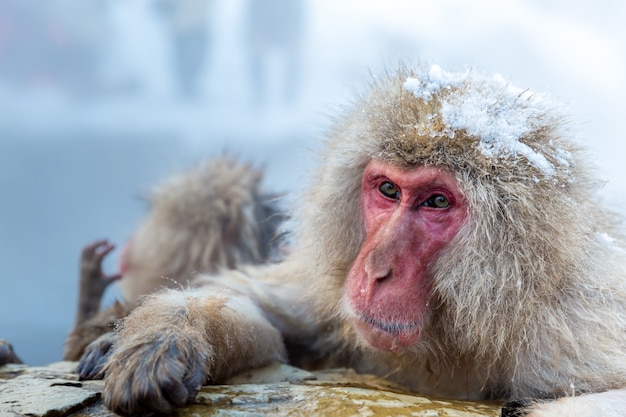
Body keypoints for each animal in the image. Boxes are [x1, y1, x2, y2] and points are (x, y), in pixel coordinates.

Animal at [94, 65, 626, 416]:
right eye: (388, 190)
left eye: (436, 201)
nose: (374, 270)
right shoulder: (335, 299)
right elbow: (264, 314)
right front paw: (164, 340)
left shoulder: (572, 330)